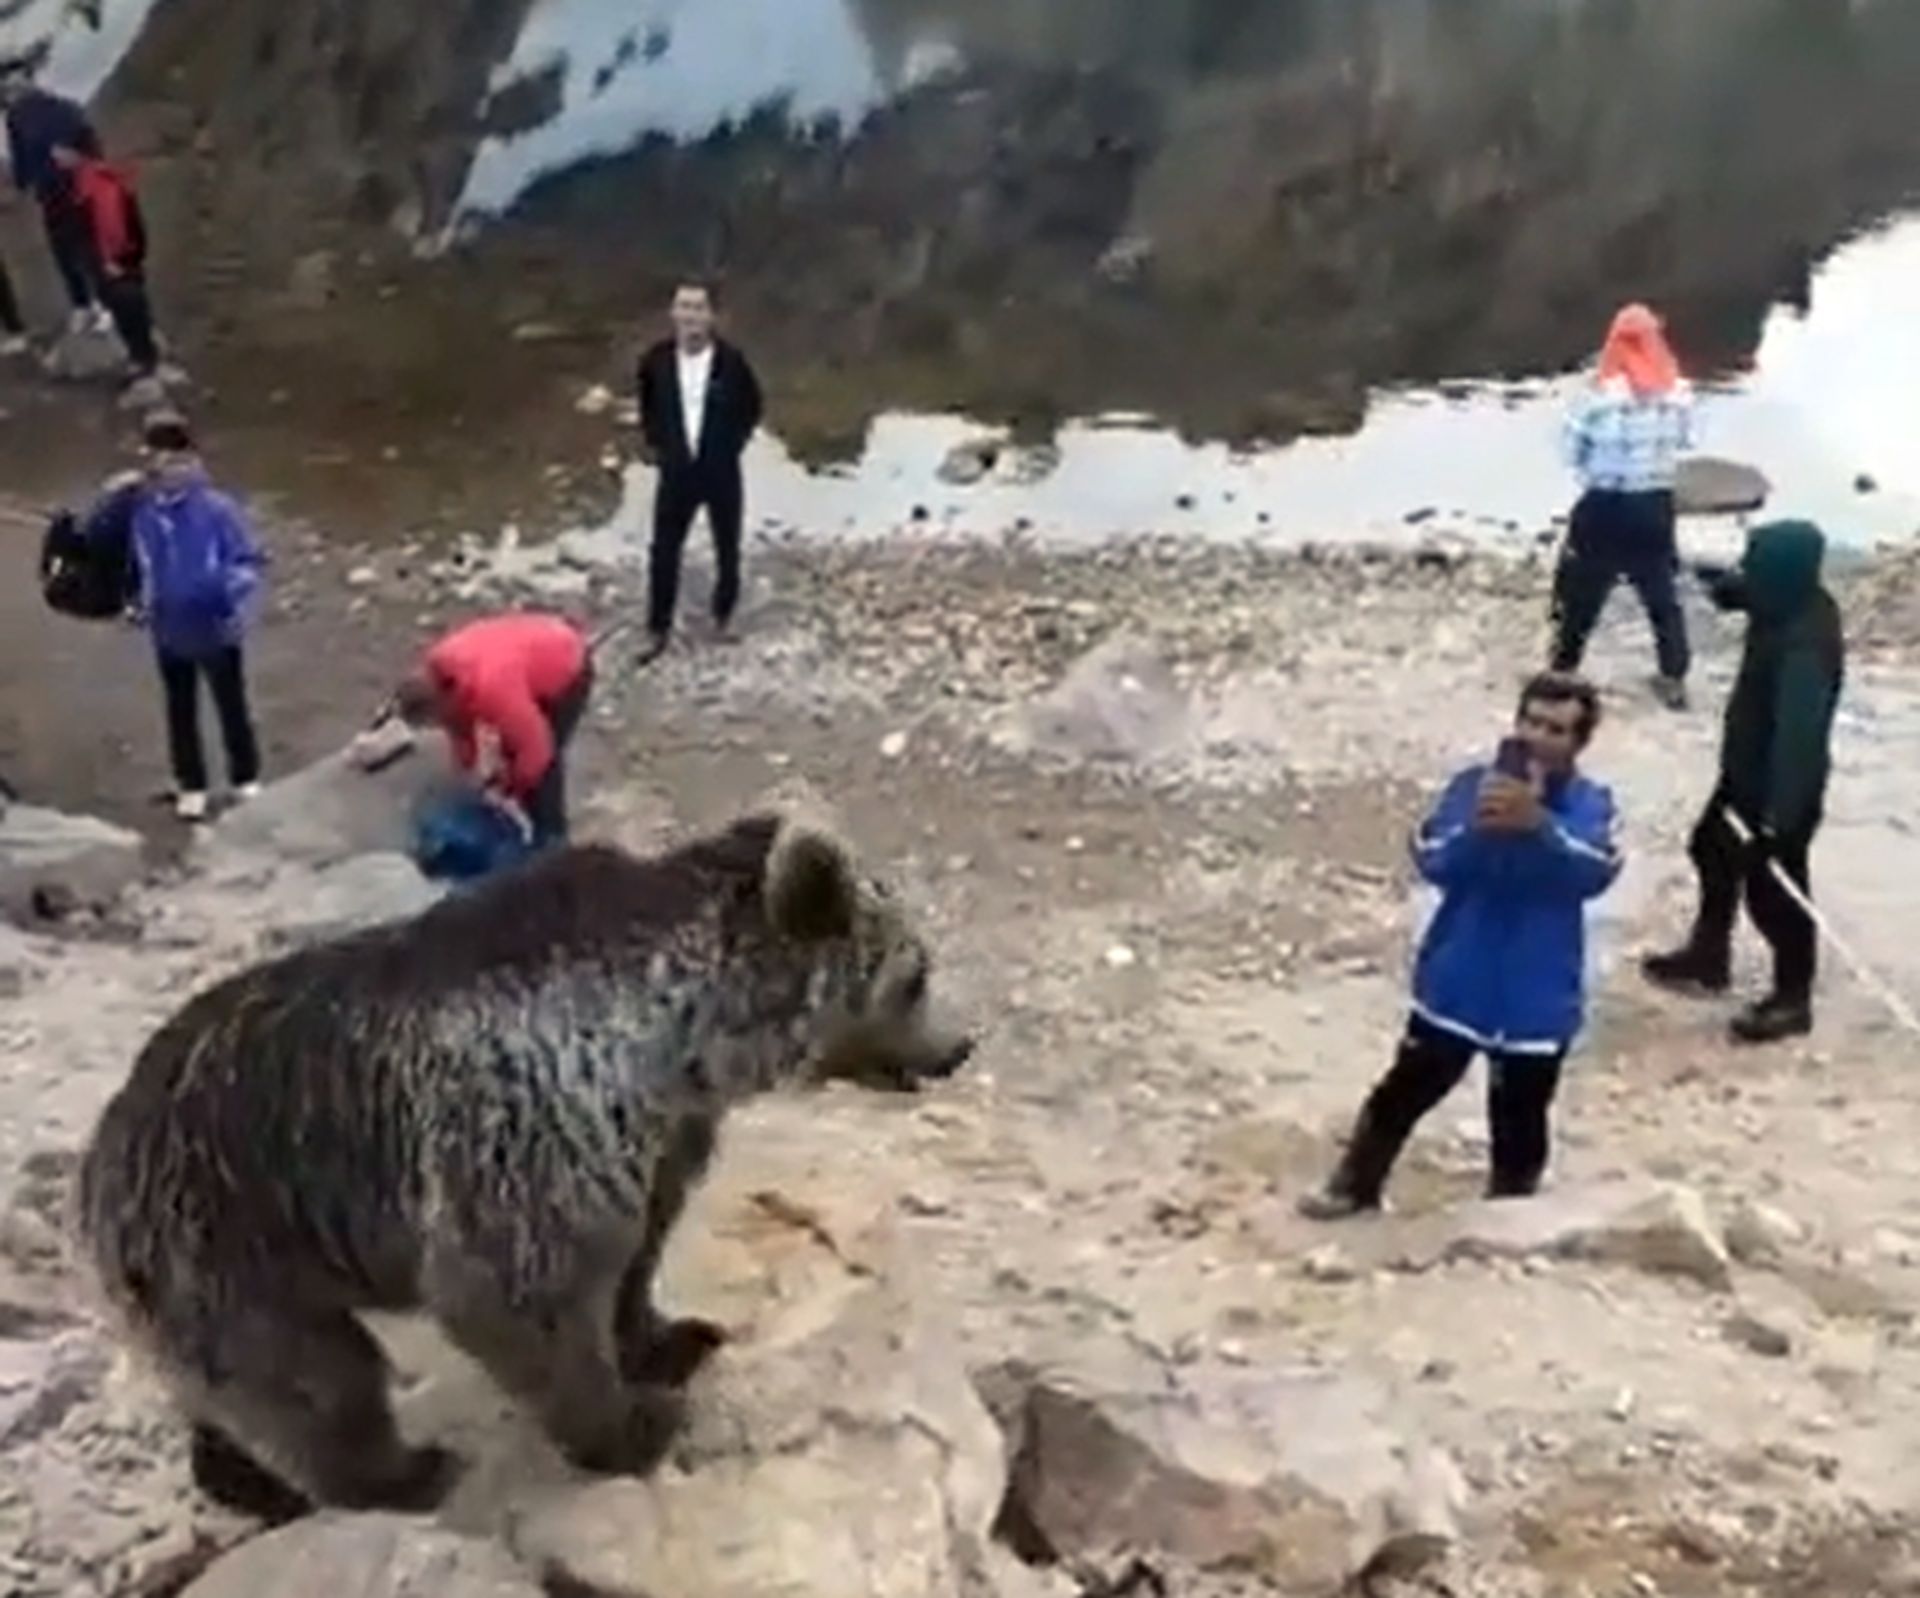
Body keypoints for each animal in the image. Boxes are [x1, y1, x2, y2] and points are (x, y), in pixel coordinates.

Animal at [76, 811, 972, 1521]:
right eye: (916, 974)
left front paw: (671, 1337)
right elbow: (518, 1293)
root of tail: (99, 1154)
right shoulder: (523, 1125)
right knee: (316, 1383)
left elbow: (637, 1251)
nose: (961, 1045)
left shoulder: (658, 1141)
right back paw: (399, 1473)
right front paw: (632, 1425)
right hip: (226, 1242)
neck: (679, 1049)